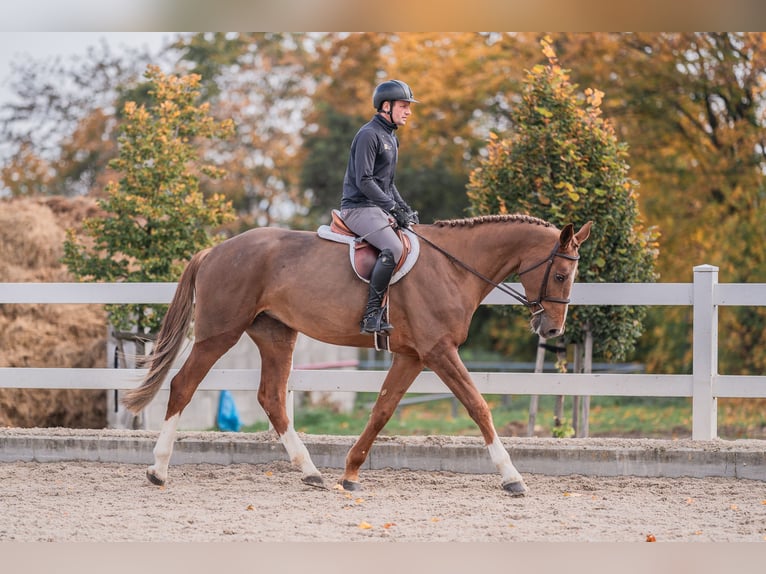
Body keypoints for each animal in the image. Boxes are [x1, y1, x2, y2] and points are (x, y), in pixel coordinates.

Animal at [123, 214, 592, 496]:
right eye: (561, 275)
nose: (552, 330)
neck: (453, 267)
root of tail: (214, 250)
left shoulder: (412, 356)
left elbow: (382, 410)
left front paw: (349, 474)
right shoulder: (438, 351)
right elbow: (478, 406)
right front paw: (512, 477)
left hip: (276, 336)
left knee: (272, 398)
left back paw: (311, 471)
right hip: (218, 334)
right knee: (183, 385)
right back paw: (158, 470)